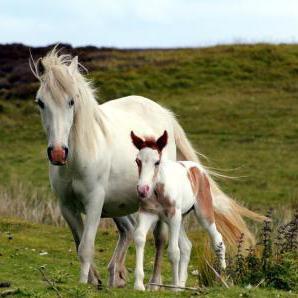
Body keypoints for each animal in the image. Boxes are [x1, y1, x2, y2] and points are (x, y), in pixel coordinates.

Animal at [130, 130, 226, 292]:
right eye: (138, 161)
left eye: (157, 162)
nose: (142, 190)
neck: (158, 191)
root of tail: (197, 169)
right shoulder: (147, 213)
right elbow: (139, 238)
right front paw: (138, 284)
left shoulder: (173, 216)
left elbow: (174, 252)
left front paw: (173, 288)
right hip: (179, 219)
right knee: (187, 246)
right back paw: (182, 285)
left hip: (201, 213)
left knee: (217, 239)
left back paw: (223, 276)